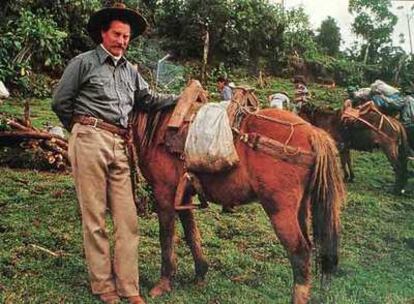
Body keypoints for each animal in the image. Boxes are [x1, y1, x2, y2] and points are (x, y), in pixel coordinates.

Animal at [131, 81, 344, 304]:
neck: (158, 129)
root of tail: (312, 132)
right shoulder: (183, 196)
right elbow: (192, 234)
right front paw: (200, 273)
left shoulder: (163, 193)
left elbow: (166, 237)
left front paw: (163, 283)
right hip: (301, 208)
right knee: (308, 247)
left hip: (280, 210)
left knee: (299, 251)